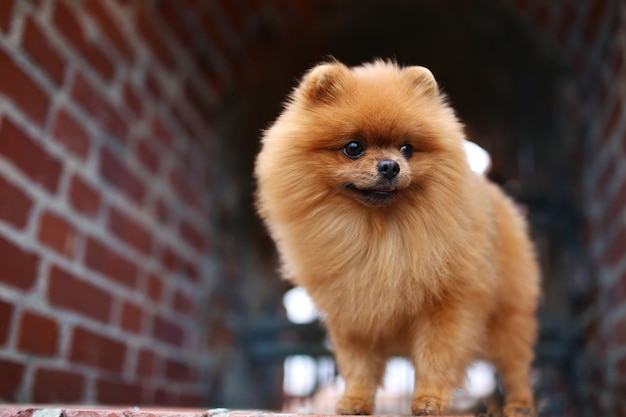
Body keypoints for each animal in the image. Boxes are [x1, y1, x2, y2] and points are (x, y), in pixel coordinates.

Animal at [254, 59, 536, 416]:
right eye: (353, 148)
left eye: (407, 148)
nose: (390, 166)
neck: (379, 234)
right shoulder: (352, 310)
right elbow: (358, 365)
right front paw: (354, 401)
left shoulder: (448, 304)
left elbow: (436, 357)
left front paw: (429, 401)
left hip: (507, 317)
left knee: (515, 366)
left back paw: (519, 405)